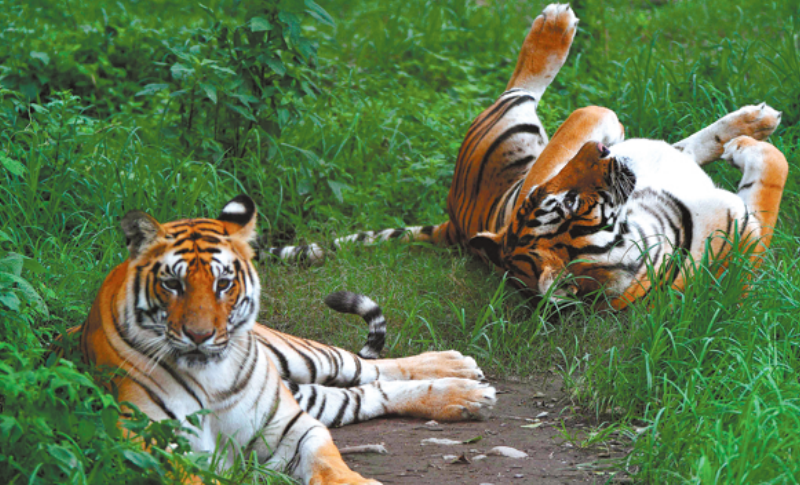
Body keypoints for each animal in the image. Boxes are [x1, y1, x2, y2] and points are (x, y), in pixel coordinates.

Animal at [65, 194, 496, 485]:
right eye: (173, 284)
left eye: (224, 283)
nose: (201, 336)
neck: (211, 380)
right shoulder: (147, 445)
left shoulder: (294, 428)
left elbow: (331, 465)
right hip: (308, 394)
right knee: (368, 393)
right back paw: (465, 394)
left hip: (303, 359)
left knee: (367, 367)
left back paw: (461, 373)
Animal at [261, 3, 788, 309]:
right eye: (564, 204)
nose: (601, 151)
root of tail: (454, 222)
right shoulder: (750, 236)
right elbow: (774, 174)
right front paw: (751, 151)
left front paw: (745, 144)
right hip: (509, 129)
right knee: (525, 91)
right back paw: (557, 28)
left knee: (675, 146)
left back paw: (751, 121)